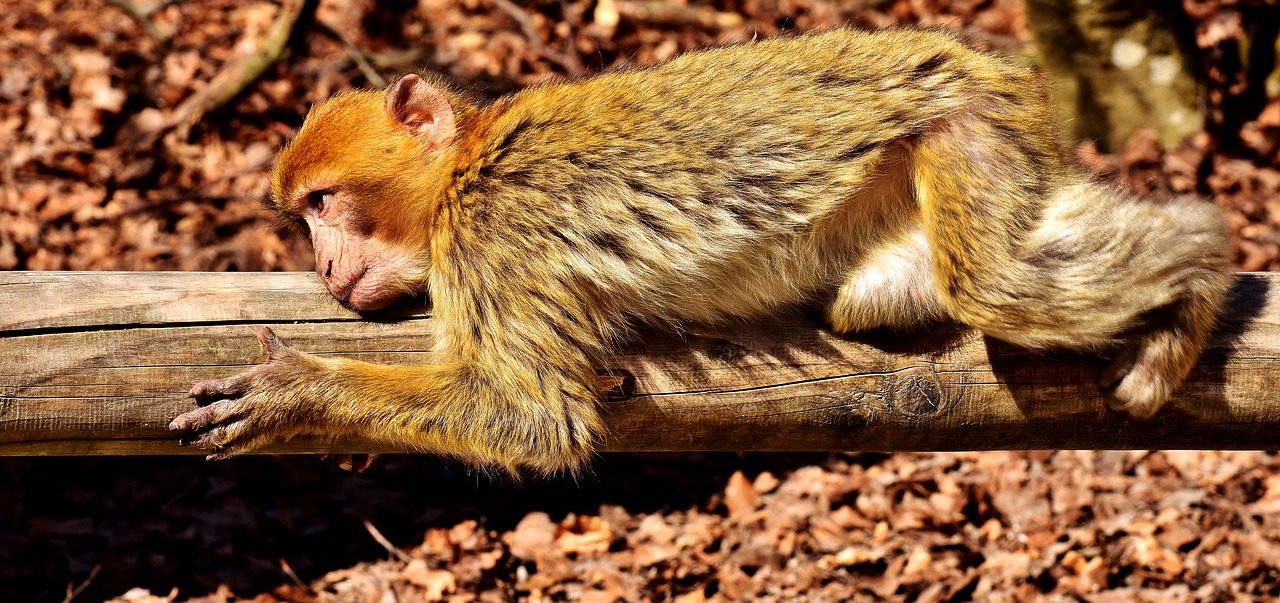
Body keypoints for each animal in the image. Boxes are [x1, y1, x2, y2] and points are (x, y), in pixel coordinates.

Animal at [167, 27, 1228, 471]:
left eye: (323, 202)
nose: (319, 263)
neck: (465, 165)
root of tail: (987, 60)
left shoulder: (491, 229)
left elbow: (534, 417)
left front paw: (301, 390)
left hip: (972, 125)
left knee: (1000, 283)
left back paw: (1202, 263)